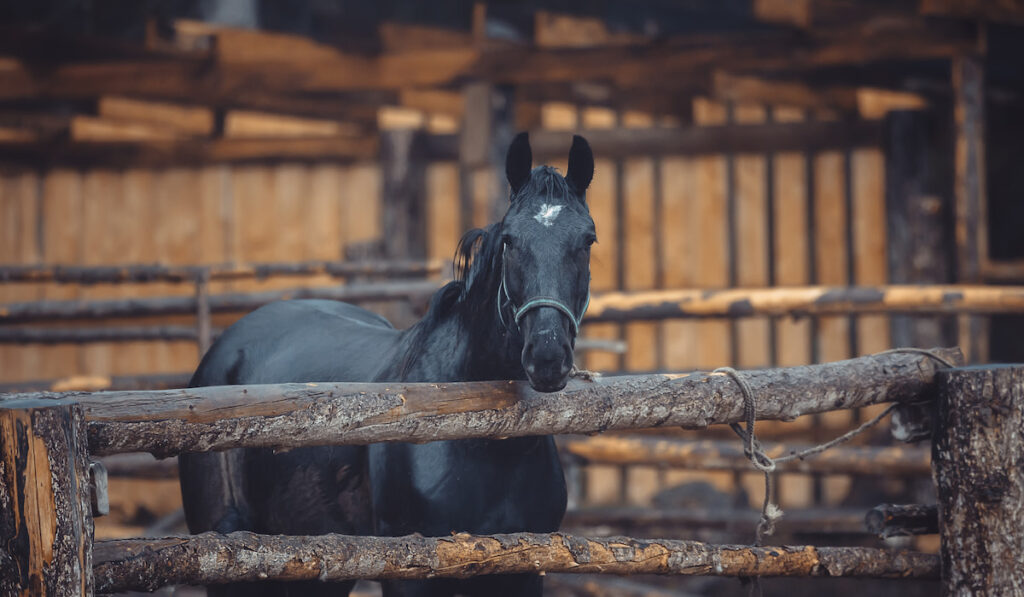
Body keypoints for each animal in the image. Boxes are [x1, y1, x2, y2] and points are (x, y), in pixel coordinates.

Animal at [180, 133, 598, 593]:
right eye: (509, 240)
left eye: (588, 241)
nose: (547, 355)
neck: (483, 442)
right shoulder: (409, 572)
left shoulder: (524, 571)